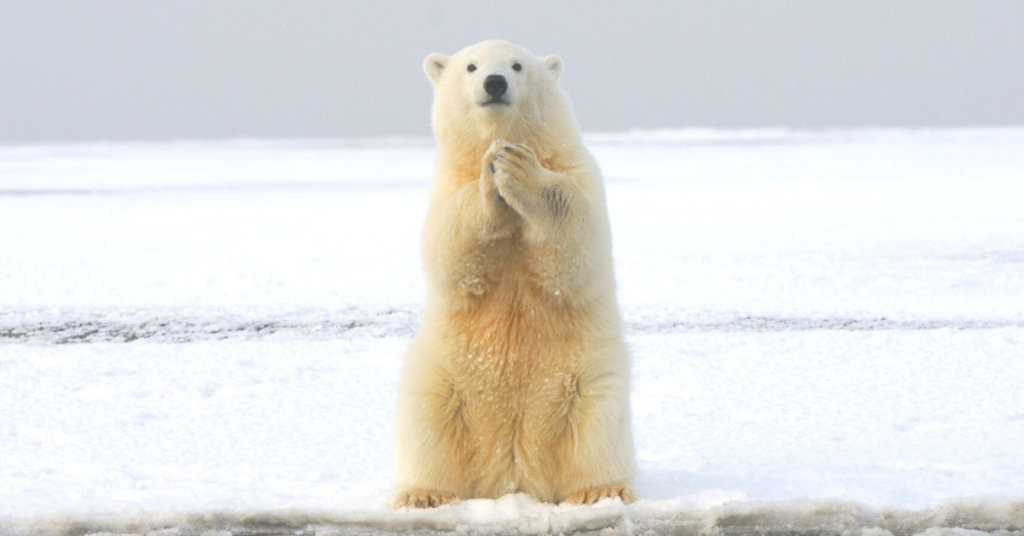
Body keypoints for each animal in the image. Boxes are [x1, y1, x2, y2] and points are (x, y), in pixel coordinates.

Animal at [394, 40, 635, 509]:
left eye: (518, 65)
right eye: (471, 66)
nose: (494, 82)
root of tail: (513, 475)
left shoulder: (579, 172)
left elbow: (577, 244)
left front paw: (518, 169)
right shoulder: (446, 186)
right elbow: (450, 251)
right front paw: (492, 175)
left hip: (586, 383)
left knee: (596, 431)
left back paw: (599, 490)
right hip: (443, 381)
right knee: (428, 425)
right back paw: (424, 494)